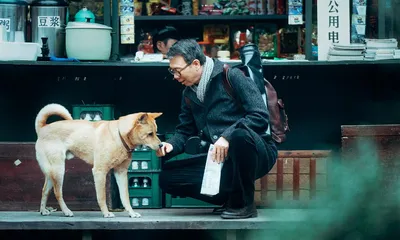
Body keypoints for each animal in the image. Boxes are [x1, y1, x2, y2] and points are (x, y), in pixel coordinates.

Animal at [32, 103, 161, 218]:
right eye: (150, 134)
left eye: (155, 132)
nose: (161, 145)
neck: (119, 136)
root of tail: (42, 128)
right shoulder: (100, 171)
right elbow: (102, 196)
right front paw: (106, 213)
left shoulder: (121, 173)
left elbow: (125, 197)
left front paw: (132, 213)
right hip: (59, 170)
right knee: (57, 193)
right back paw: (66, 211)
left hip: (51, 172)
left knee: (45, 190)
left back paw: (43, 211)